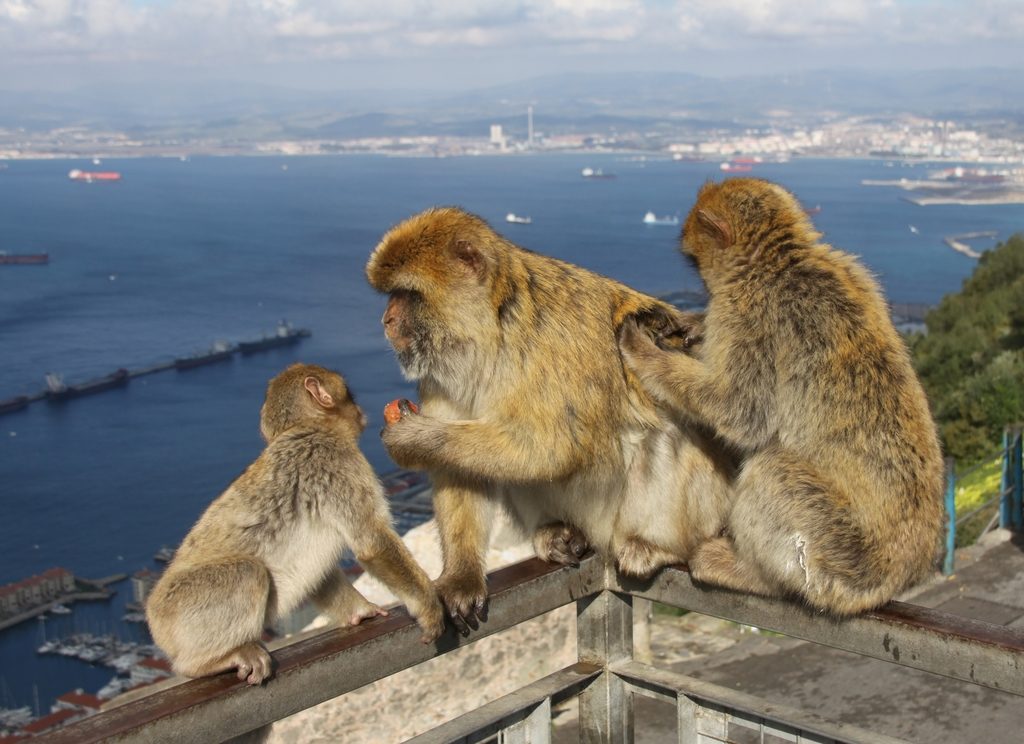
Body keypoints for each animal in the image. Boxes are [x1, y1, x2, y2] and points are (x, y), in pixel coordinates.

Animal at [145, 363, 445, 684]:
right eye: (348, 393)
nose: (360, 409)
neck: (307, 428)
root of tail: (153, 619)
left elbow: (321, 573)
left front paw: (361, 612)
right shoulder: (336, 461)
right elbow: (372, 542)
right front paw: (428, 608)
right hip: (186, 607)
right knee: (247, 573)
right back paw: (208, 662)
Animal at [365, 207, 736, 633]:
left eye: (408, 295)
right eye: (392, 295)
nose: (386, 319)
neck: (493, 330)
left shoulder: (553, 341)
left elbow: (556, 448)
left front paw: (413, 438)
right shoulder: (441, 372)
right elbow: (459, 471)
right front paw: (462, 576)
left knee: (666, 432)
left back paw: (658, 547)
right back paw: (558, 533)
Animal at [618, 177, 945, 616]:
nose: (702, 285)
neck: (780, 260)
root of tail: (895, 579)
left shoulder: (747, 312)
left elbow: (741, 412)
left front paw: (644, 351)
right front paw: (692, 325)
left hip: (835, 559)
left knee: (773, 472)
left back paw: (749, 573)